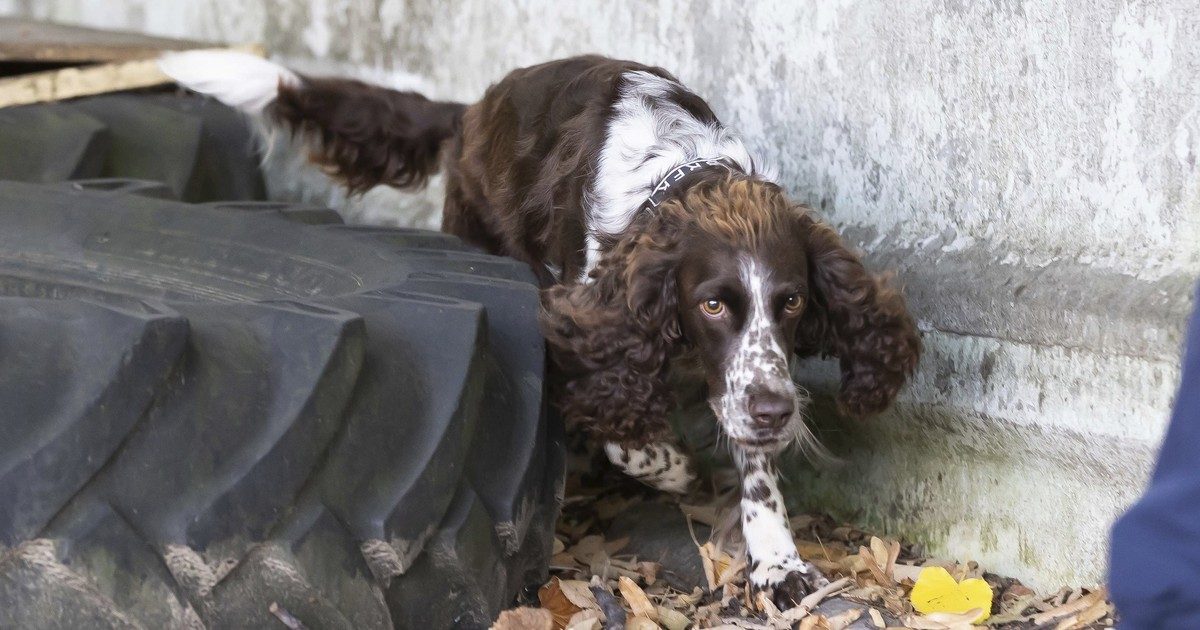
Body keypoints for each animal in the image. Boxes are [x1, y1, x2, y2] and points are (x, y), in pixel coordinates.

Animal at [164, 52, 916, 604]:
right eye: (711, 305)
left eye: (792, 302)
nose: (776, 411)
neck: (678, 174)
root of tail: (473, 111)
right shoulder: (588, 322)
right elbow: (625, 433)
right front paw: (672, 468)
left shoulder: (746, 376)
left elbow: (756, 467)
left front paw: (777, 563)